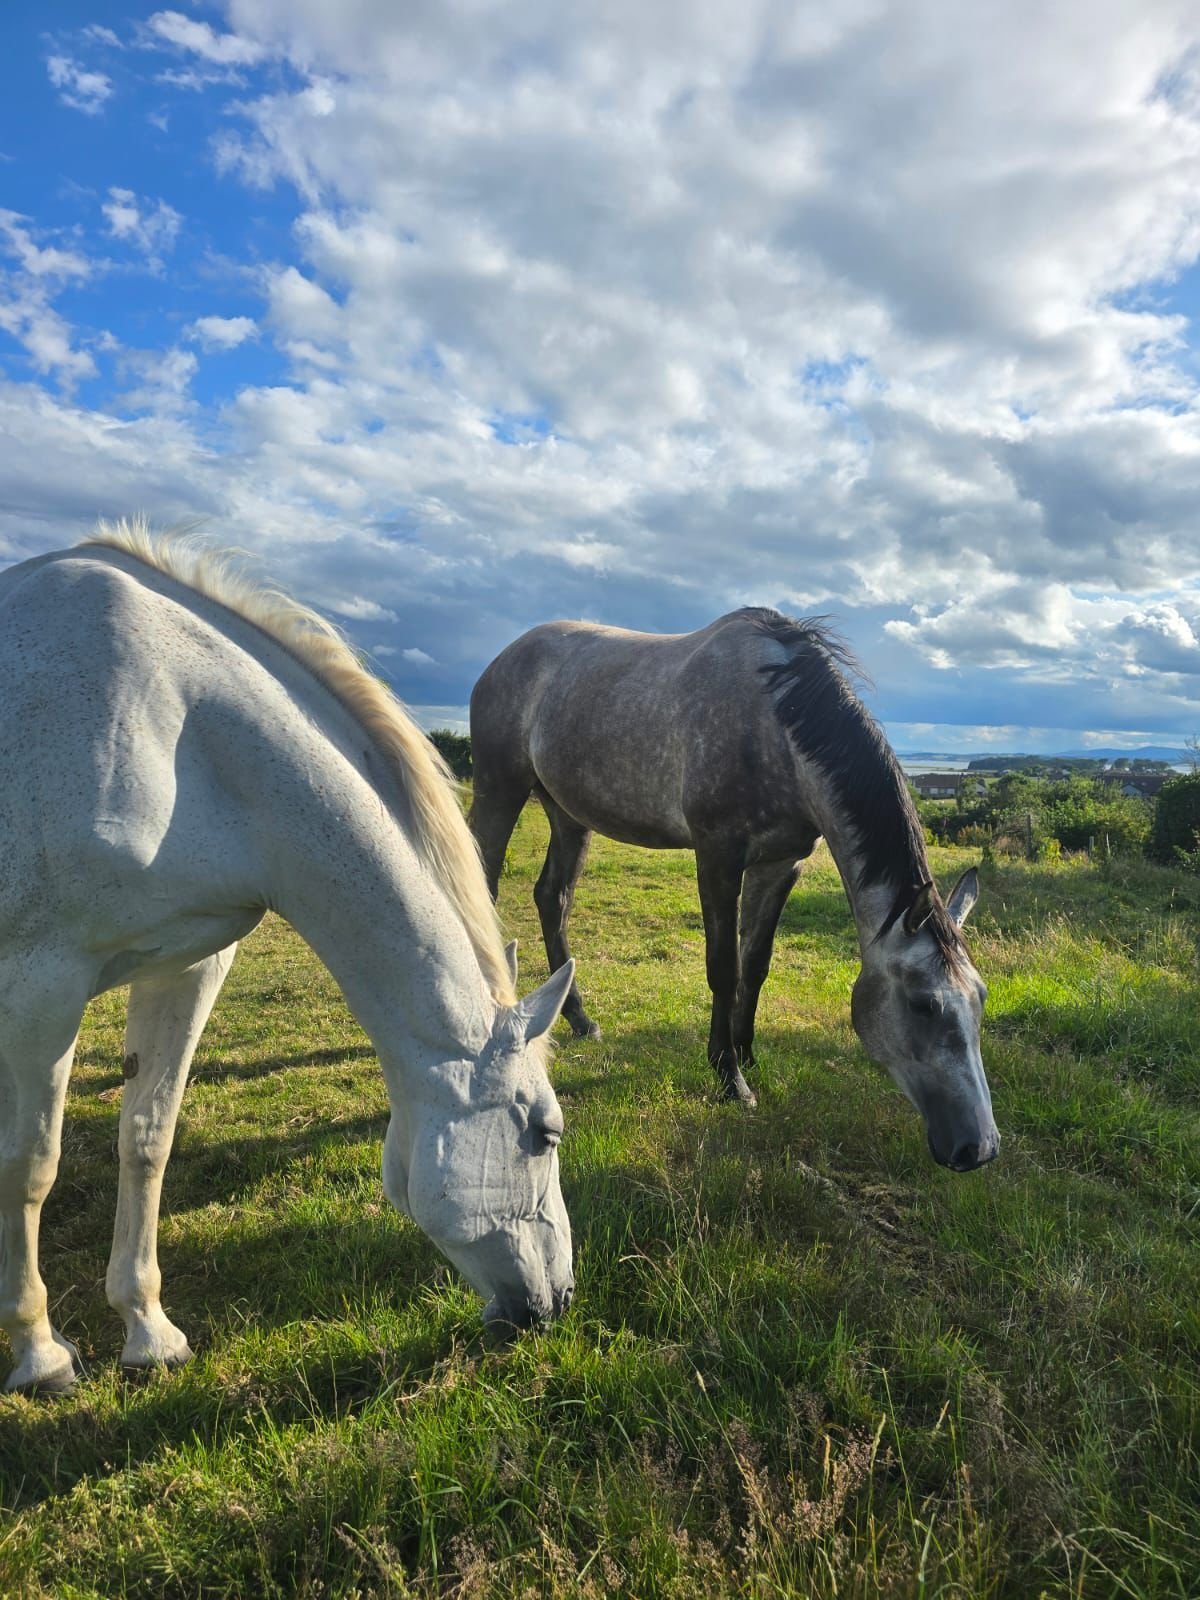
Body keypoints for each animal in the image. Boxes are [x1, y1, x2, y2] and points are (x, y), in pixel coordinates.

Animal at [0, 522, 575, 1395]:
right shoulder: (45, 983)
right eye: (544, 1134)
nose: (560, 1300)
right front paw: (39, 1353)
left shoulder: (188, 965)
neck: (173, 729)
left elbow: (147, 1138)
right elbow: (32, 1163)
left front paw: (149, 1331)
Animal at [470, 607, 999, 1171]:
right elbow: (724, 966)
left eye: (980, 998)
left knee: (553, 897)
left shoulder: (782, 864)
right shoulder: (718, 856)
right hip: (500, 788)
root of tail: (504, 659)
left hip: (567, 813)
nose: (979, 1148)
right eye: (923, 1004)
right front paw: (729, 1077)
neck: (773, 723)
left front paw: (747, 1053)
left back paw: (580, 1019)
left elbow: (756, 962)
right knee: (483, 885)